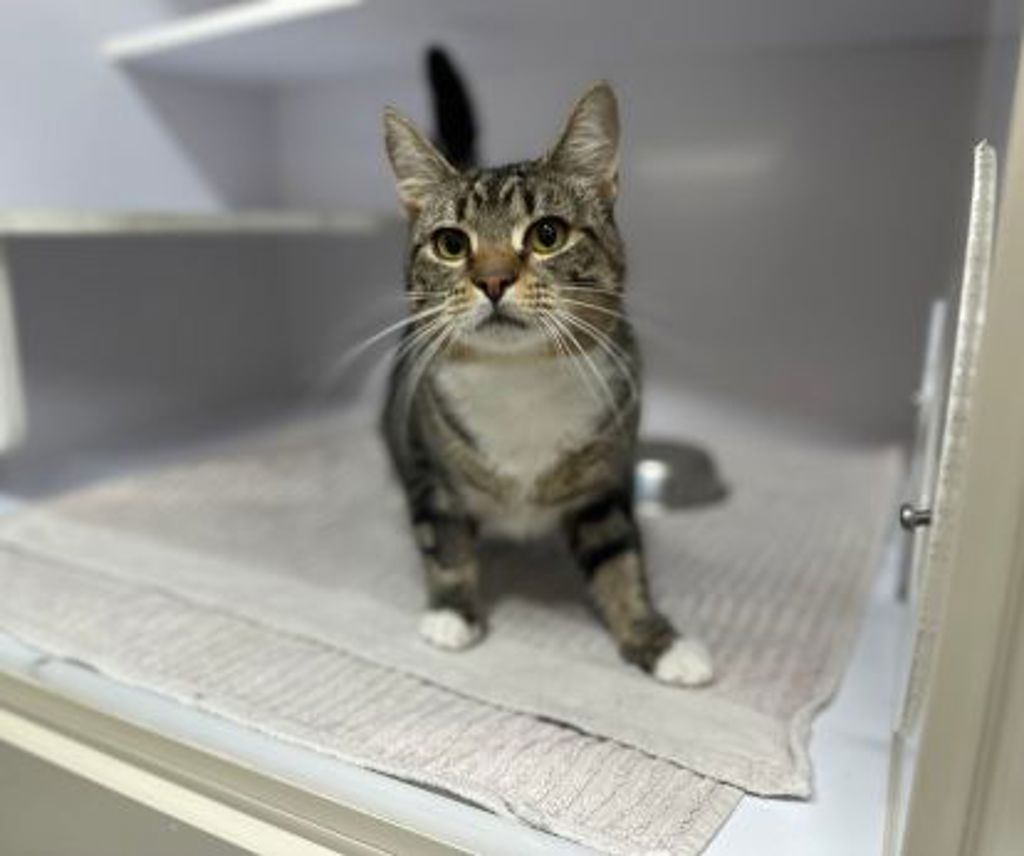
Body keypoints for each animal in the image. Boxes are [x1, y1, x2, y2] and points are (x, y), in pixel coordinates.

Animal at [380, 80, 713, 686]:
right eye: (451, 244)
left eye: (547, 234)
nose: (492, 279)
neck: (519, 379)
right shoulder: (428, 467)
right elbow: (444, 540)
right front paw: (452, 613)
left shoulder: (605, 487)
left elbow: (621, 564)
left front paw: (658, 639)